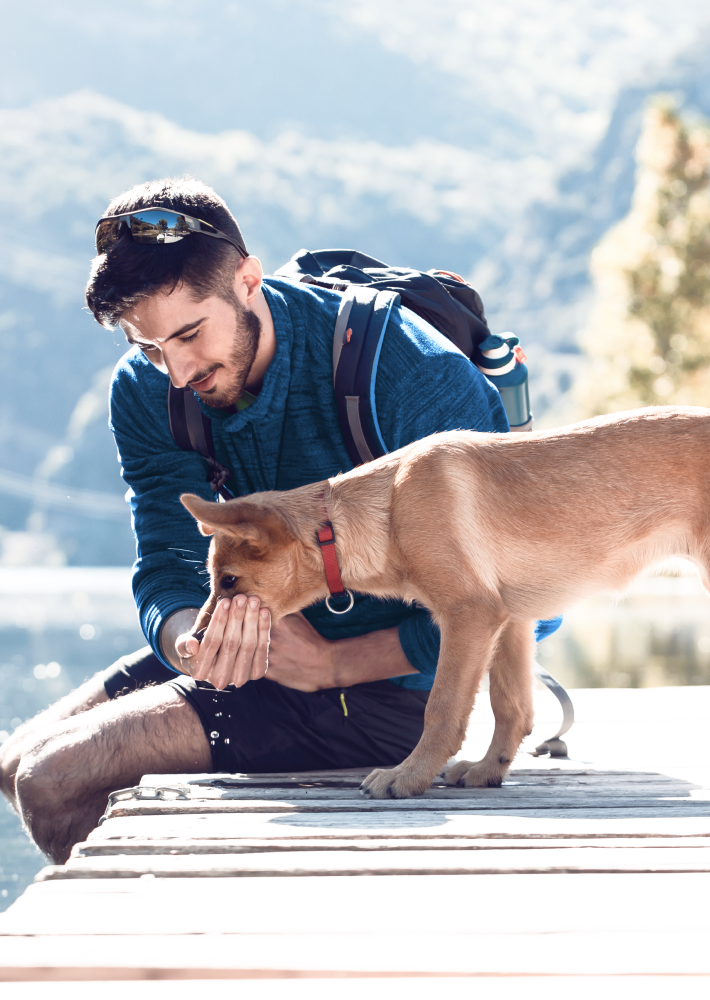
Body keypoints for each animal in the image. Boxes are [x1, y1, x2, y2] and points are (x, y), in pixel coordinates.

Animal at [181, 402, 710, 800]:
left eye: (228, 582)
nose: (191, 650)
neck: (382, 511)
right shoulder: (511, 620)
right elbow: (511, 706)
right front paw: (487, 770)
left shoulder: (469, 614)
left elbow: (441, 708)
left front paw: (408, 776)